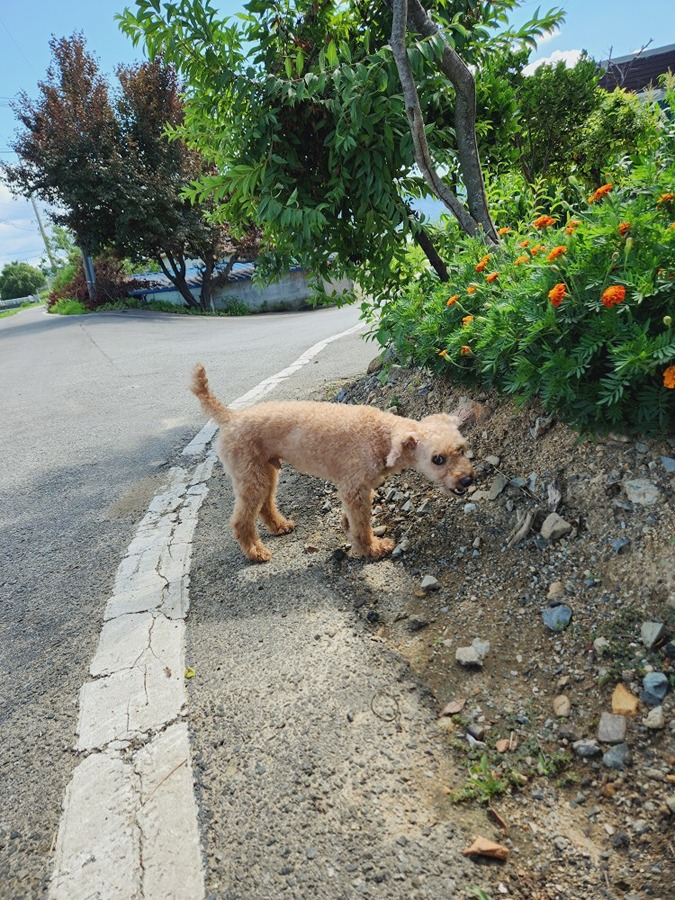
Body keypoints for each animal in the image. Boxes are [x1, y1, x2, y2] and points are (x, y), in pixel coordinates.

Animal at [191, 364, 476, 564]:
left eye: (461, 449)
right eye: (437, 459)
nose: (468, 479)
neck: (380, 436)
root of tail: (230, 417)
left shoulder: (359, 488)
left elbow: (354, 520)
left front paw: (349, 530)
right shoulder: (354, 488)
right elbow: (362, 525)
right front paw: (371, 548)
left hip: (266, 470)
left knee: (264, 505)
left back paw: (280, 526)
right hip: (250, 475)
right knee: (241, 520)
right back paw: (255, 552)